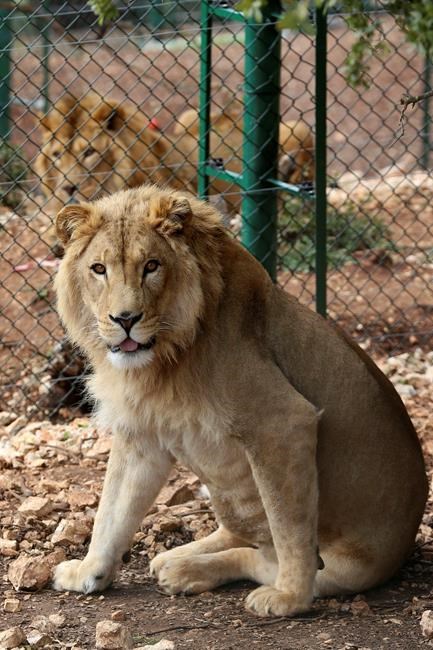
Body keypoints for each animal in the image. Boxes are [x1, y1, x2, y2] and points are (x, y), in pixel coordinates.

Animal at [52, 185, 427, 617]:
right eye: (98, 269)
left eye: (151, 266)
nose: (125, 319)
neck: (165, 359)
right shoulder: (141, 435)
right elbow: (111, 512)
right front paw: (89, 571)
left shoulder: (282, 422)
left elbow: (290, 526)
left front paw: (291, 597)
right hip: (231, 498)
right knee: (239, 534)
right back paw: (176, 558)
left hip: (345, 566)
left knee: (264, 557)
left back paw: (190, 572)